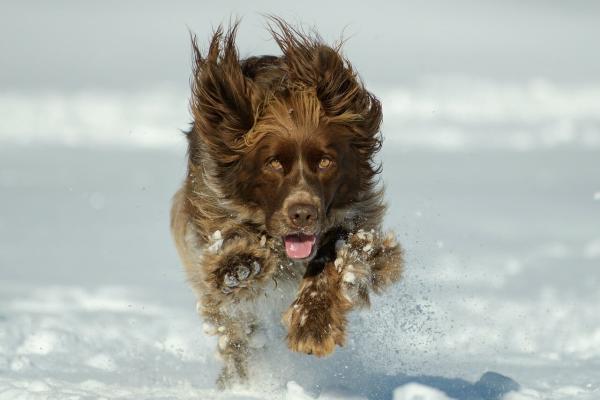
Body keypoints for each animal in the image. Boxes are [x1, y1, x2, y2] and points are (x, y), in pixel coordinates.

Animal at [170, 18, 404, 388]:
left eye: (325, 161)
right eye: (273, 163)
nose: (302, 214)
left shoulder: (361, 223)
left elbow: (341, 256)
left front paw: (313, 324)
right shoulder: (209, 209)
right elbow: (227, 252)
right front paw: (240, 264)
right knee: (235, 334)